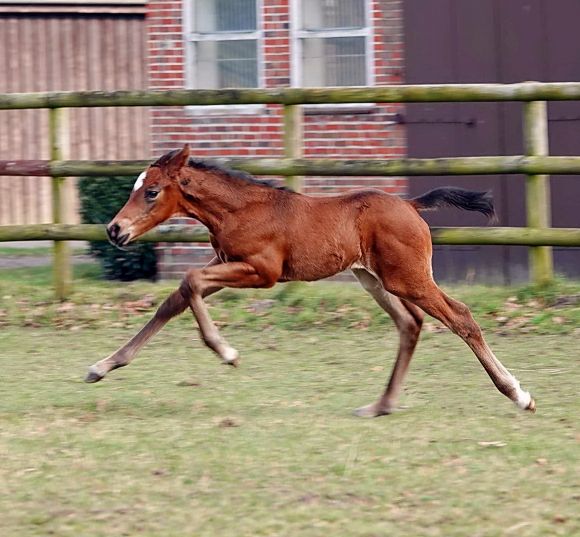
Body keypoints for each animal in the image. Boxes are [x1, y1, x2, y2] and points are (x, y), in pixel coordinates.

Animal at [86, 146, 536, 414]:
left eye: (152, 192)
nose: (114, 230)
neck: (240, 210)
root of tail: (410, 205)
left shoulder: (263, 273)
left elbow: (191, 280)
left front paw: (227, 352)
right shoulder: (230, 265)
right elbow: (177, 297)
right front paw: (102, 366)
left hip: (408, 279)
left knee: (460, 316)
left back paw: (518, 394)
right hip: (374, 280)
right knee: (411, 324)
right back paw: (381, 405)